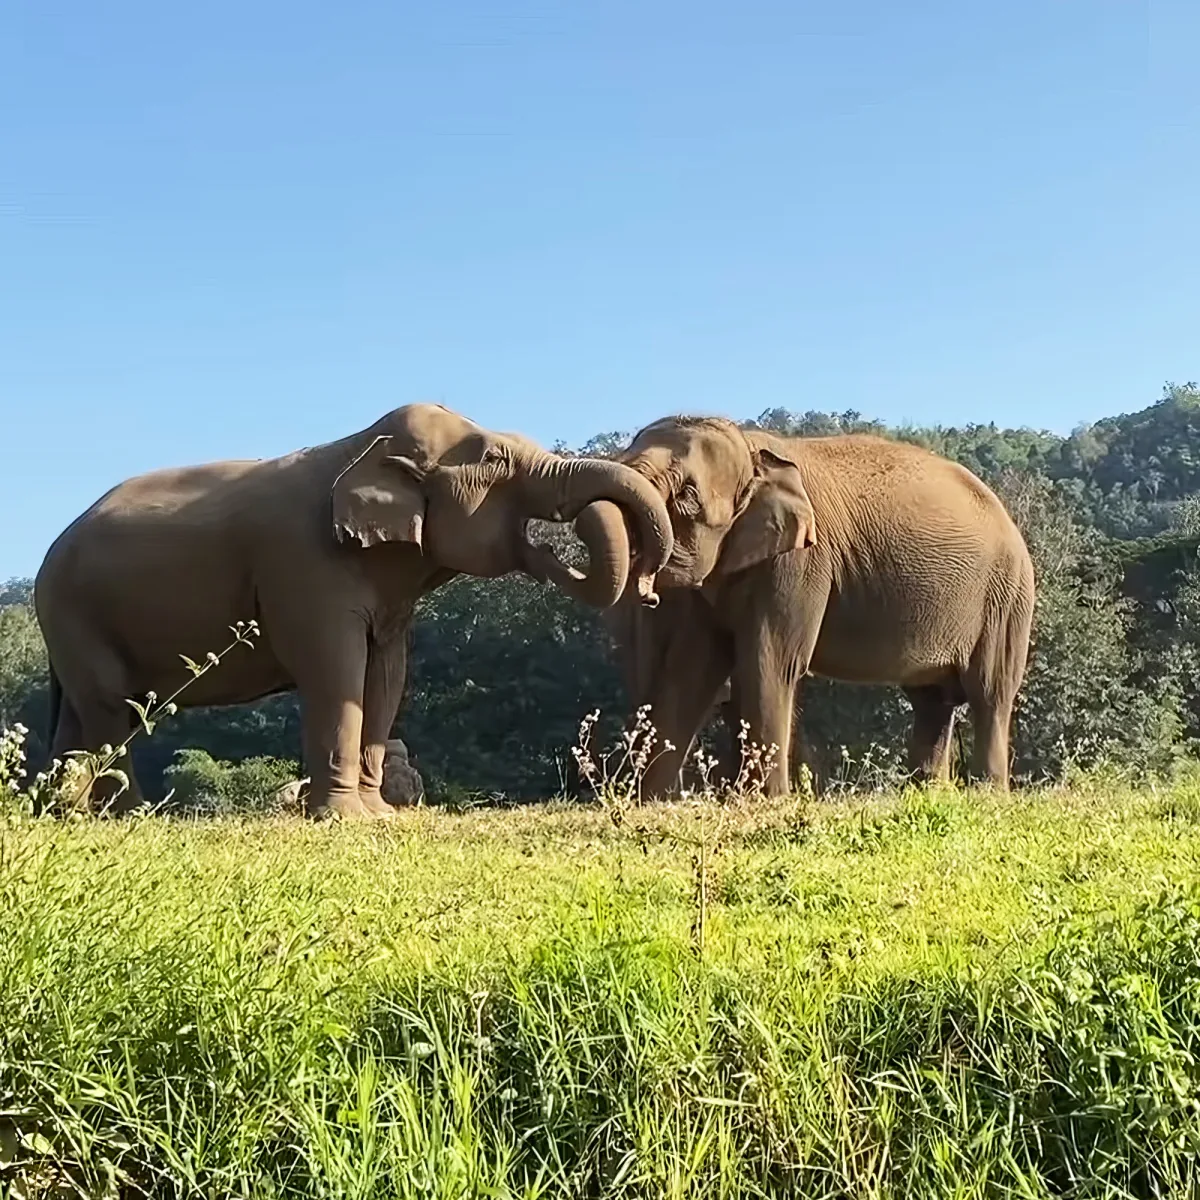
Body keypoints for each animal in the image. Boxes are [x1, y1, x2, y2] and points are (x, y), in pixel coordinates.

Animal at [35, 402, 674, 819]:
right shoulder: (303, 566)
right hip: (74, 613)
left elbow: (386, 673)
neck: (357, 445)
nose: (650, 591)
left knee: (85, 715)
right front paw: (344, 821)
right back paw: (128, 817)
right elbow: (335, 670)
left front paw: (377, 816)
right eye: (496, 459)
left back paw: (61, 816)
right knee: (113, 710)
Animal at [532, 416, 1036, 797]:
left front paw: (764, 799)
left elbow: (770, 661)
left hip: (1006, 599)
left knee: (989, 692)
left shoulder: (802, 562)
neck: (750, 446)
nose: (543, 548)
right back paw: (924, 791)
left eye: (687, 497)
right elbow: (693, 669)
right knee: (932, 701)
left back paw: (990, 795)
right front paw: (650, 801)